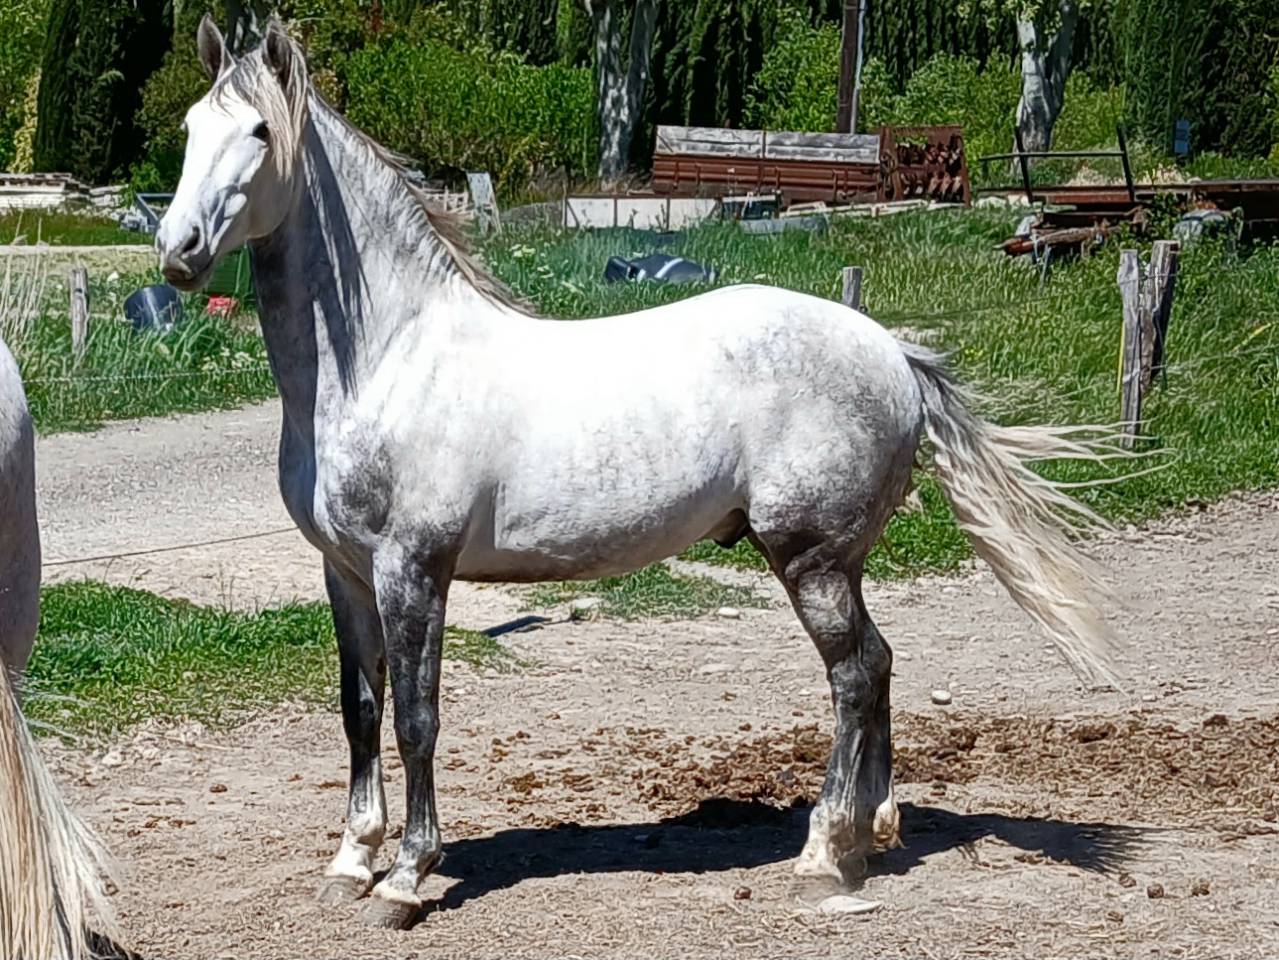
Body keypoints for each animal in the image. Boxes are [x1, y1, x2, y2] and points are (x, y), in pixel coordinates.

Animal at [157, 16, 1123, 929]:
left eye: (258, 131)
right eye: (191, 125)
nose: (178, 248)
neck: (388, 358)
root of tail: (892, 351)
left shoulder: (413, 571)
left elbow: (416, 718)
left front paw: (405, 878)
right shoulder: (346, 572)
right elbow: (359, 712)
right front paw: (351, 862)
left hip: (808, 560)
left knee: (852, 677)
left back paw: (826, 855)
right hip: (837, 565)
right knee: (879, 665)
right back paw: (870, 831)